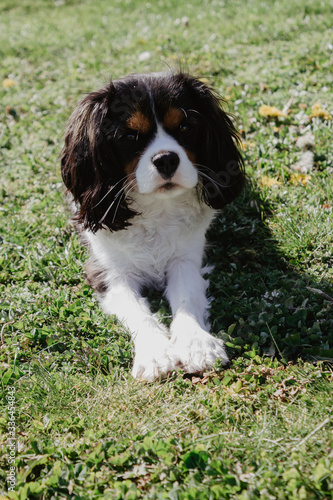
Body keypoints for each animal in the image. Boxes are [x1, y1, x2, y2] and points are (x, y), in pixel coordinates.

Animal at [61, 72, 244, 380]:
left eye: (185, 127)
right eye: (129, 136)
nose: (166, 158)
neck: (156, 207)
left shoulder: (186, 260)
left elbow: (186, 298)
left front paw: (197, 344)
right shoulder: (110, 274)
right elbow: (138, 312)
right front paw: (155, 353)